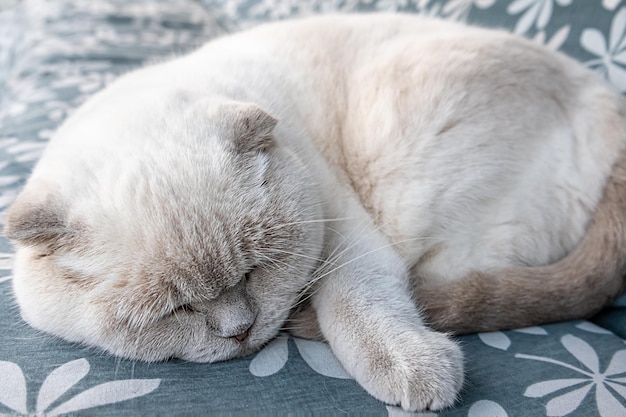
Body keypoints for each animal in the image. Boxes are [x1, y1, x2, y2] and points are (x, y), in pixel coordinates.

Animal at [4, 14, 624, 412]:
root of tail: (607, 99)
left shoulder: (346, 232)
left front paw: (414, 372)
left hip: (402, 166)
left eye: (255, 272)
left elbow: (355, 304)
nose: (240, 332)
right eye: (175, 310)